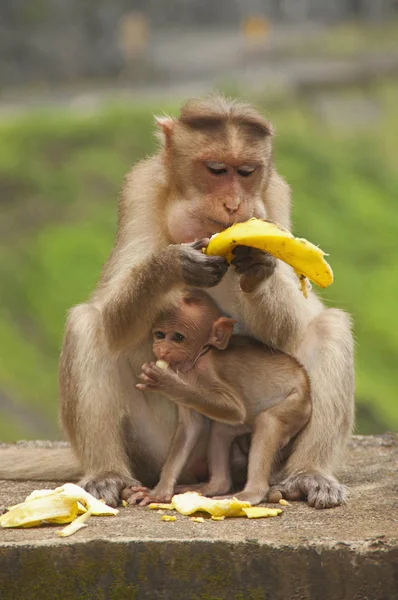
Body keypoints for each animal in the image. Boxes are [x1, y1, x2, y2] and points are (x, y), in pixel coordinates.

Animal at [127, 290, 310, 506]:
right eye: (160, 335)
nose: (162, 350)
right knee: (221, 430)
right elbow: (191, 426)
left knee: (268, 421)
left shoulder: (206, 371)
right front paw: (159, 492)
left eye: (178, 337)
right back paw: (214, 486)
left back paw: (250, 494)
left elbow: (235, 410)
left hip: (297, 405)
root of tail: (305, 379)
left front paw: (167, 384)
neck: (200, 355)